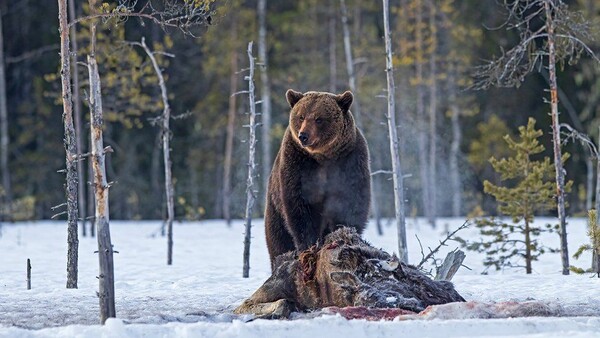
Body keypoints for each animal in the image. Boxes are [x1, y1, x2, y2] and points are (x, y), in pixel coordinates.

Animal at [264, 90, 368, 270]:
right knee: (278, 240)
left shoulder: (350, 160)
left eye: (319, 119)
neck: (323, 157)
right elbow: (299, 206)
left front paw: (343, 234)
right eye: (301, 116)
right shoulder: (297, 164)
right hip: (274, 210)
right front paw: (308, 245)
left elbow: (351, 201)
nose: (303, 136)